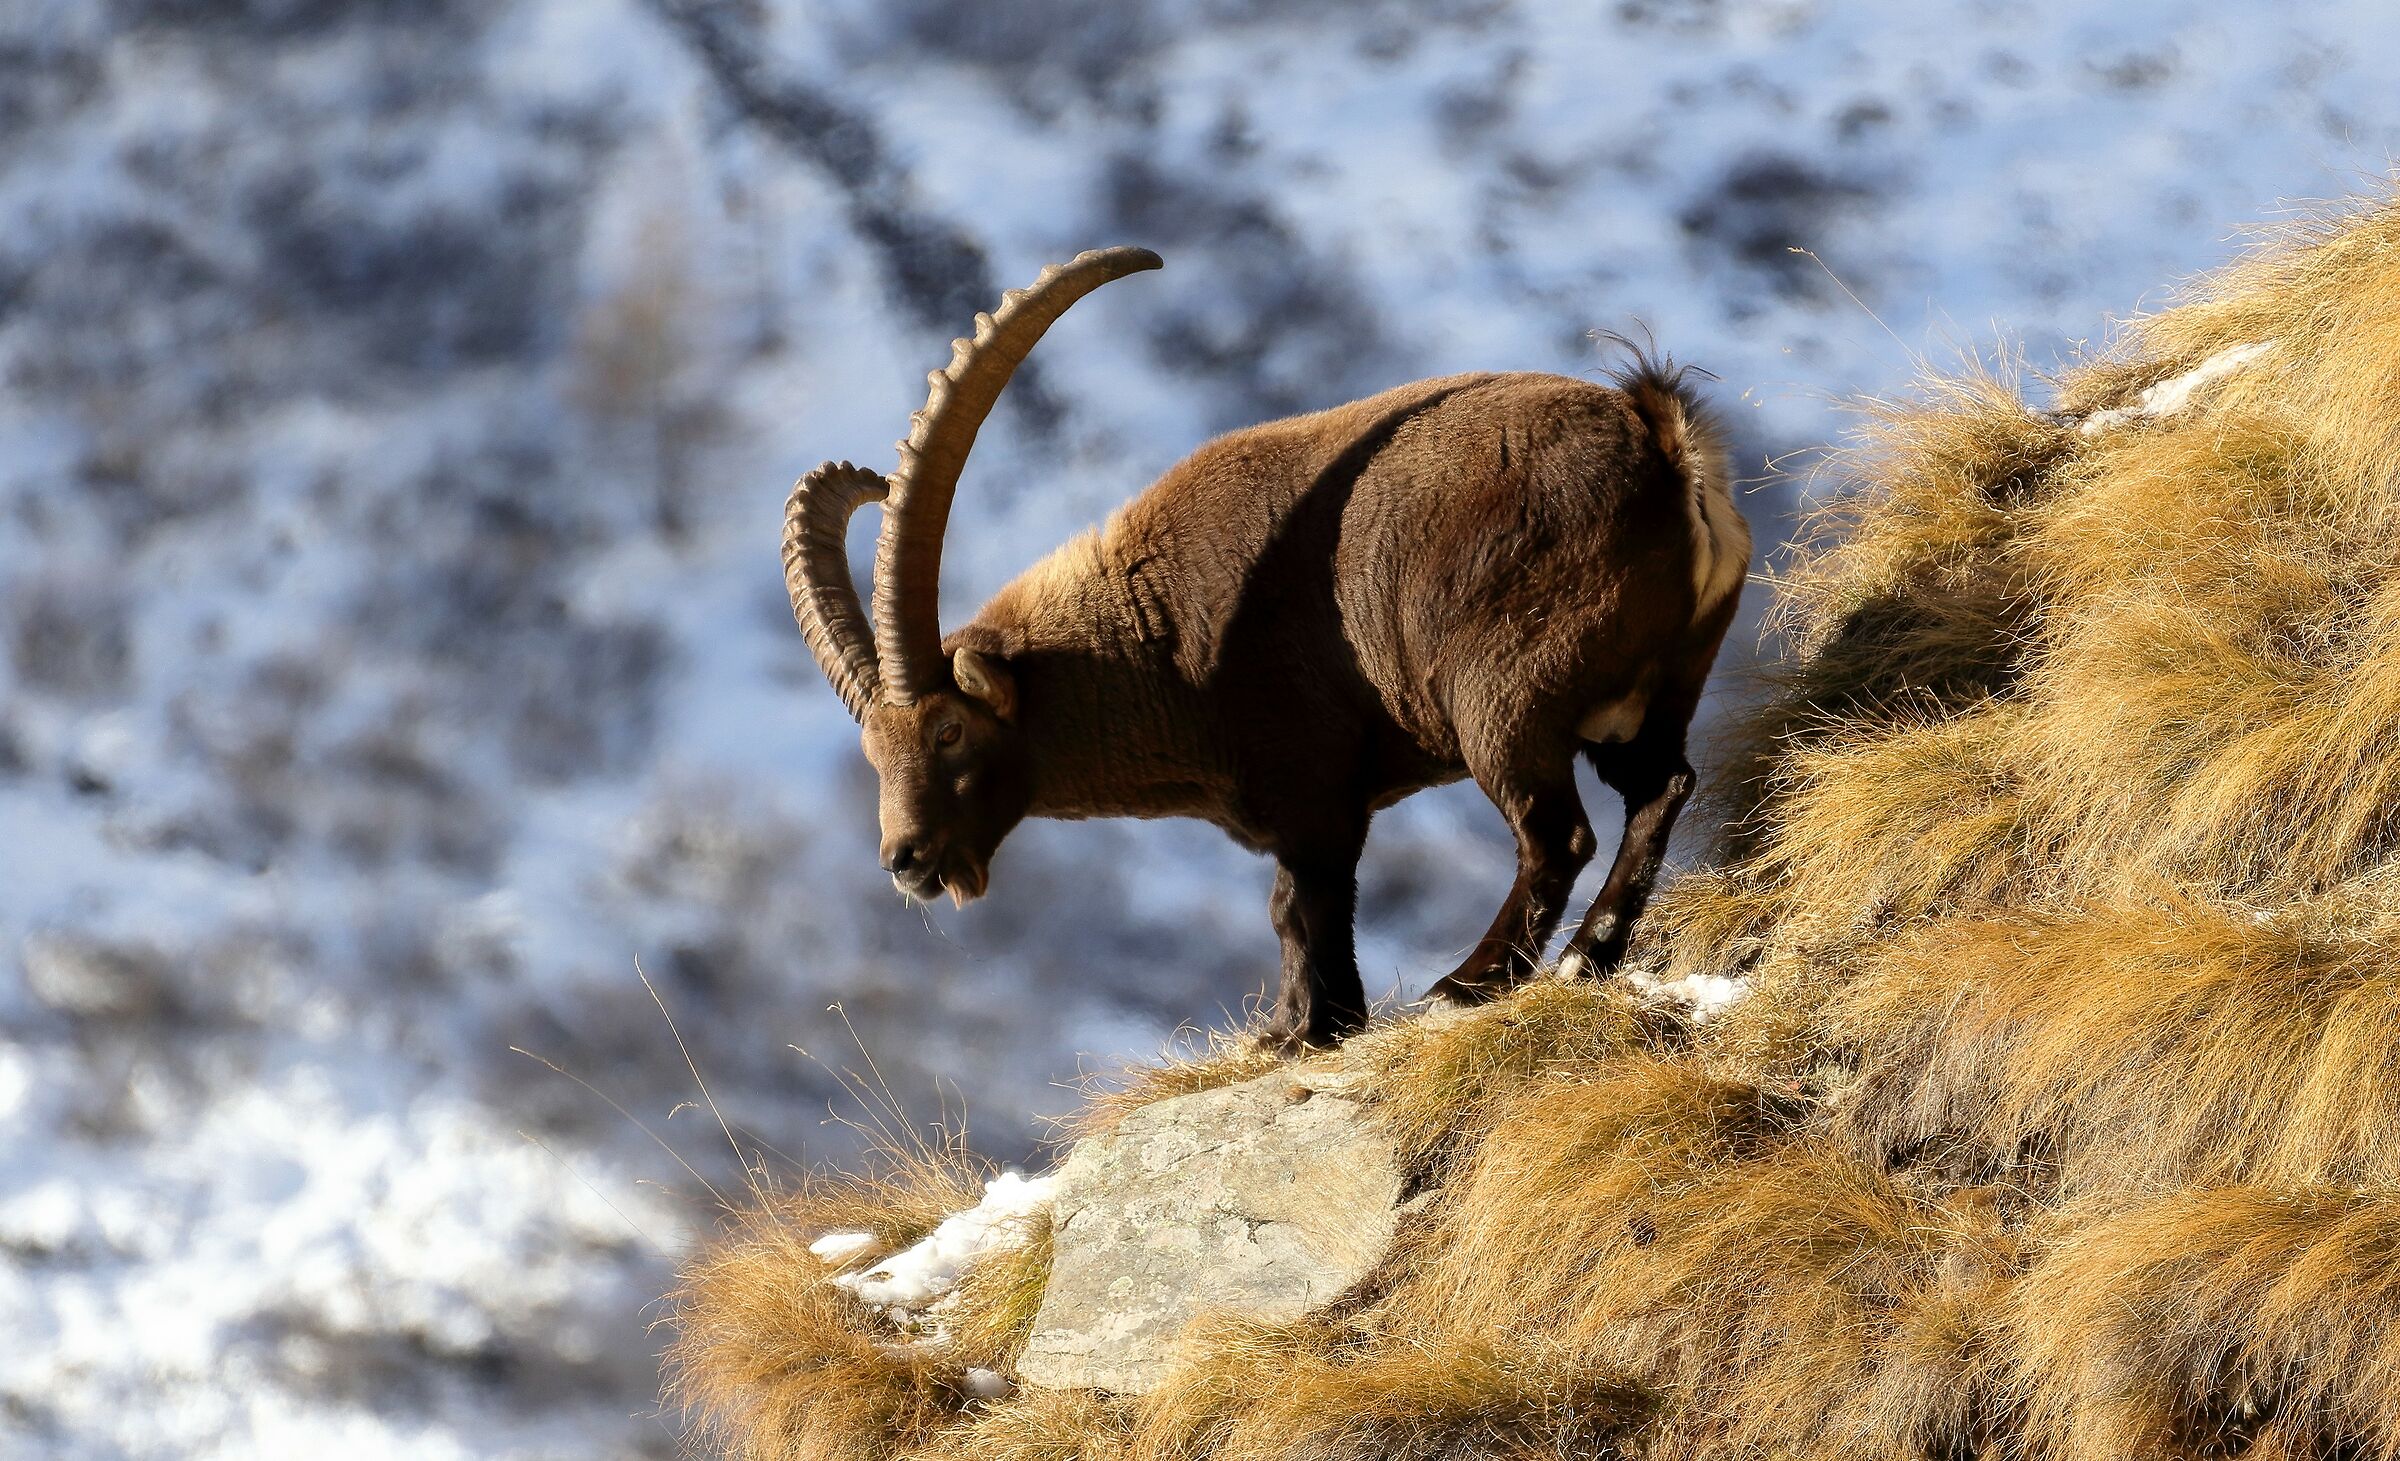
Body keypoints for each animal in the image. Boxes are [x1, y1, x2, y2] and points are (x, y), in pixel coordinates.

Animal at [785, 247, 1748, 1048]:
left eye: (948, 731)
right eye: (874, 753)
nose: (906, 860)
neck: (1164, 642)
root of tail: (1663, 444)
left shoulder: (1312, 784)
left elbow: (1298, 903)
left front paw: (1300, 1031)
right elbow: (1308, 905)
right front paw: (1309, 1025)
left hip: (1504, 702)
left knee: (1557, 835)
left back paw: (1467, 984)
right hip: (1651, 691)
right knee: (1661, 786)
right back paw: (1589, 955)